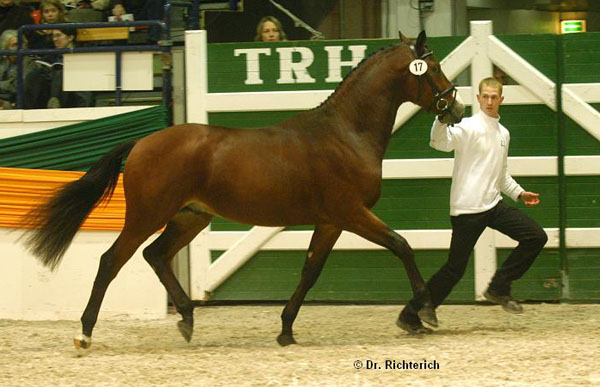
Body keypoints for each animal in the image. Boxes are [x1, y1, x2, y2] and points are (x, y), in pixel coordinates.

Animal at [22, 31, 464, 352]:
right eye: (434, 67)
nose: (456, 109)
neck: (345, 133)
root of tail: (142, 142)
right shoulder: (350, 213)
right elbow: (402, 245)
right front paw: (425, 313)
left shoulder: (330, 222)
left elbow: (310, 271)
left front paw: (285, 330)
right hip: (148, 215)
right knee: (112, 260)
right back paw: (85, 333)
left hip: (190, 217)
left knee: (155, 255)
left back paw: (186, 319)